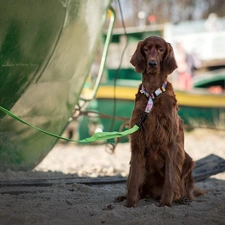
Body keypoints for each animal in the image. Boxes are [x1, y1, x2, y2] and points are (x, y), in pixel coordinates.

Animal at [117, 35, 205, 207]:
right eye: (146, 49)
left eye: (161, 49)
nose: (152, 63)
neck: (152, 93)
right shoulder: (138, 142)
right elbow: (134, 179)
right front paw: (130, 203)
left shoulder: (170, 142)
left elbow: (170, 178)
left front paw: (165, 203)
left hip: (187, 159)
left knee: (185, 188)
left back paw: (182, 198)